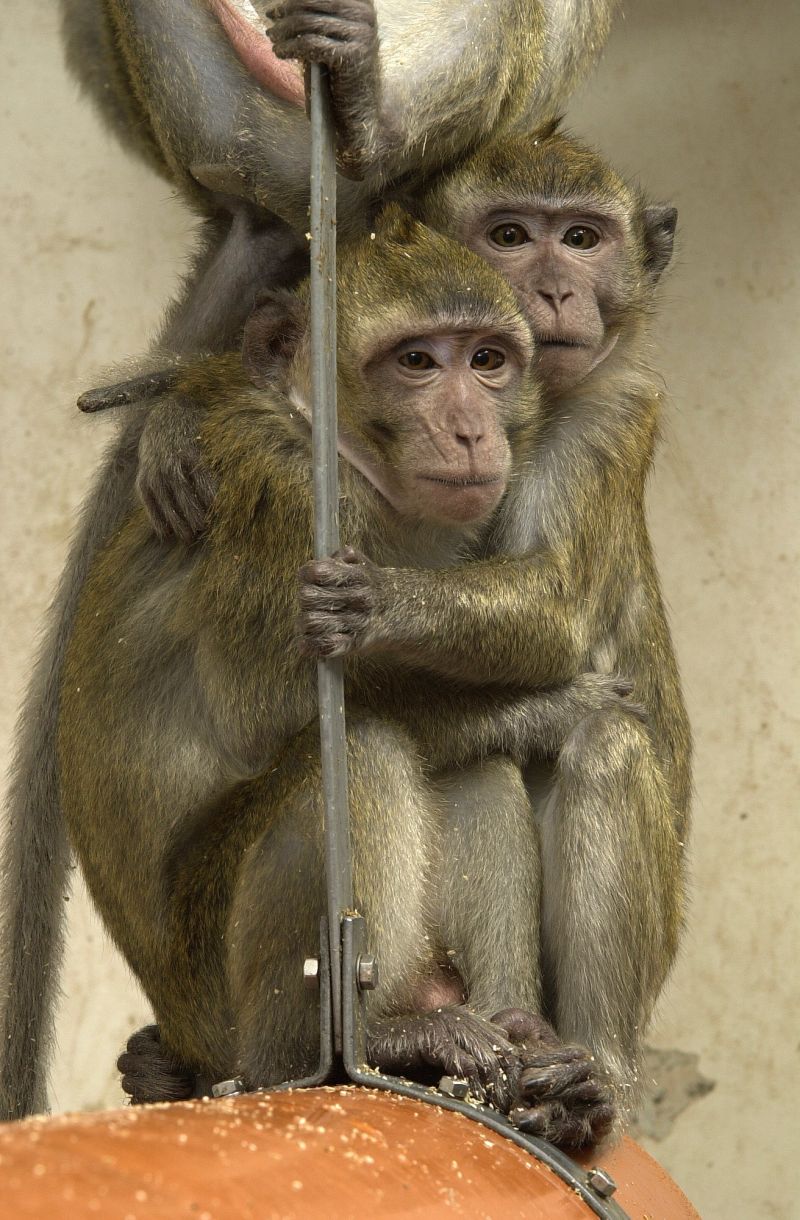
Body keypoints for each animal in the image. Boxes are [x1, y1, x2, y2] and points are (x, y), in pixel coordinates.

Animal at [113, 131, 690, 1145]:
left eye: (582, 238)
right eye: (511, 234)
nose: (551, 291)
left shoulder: (614, 413)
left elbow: (556, 609)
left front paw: (376, 605)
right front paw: (185, 411)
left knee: (606, 747)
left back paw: (584, 1081)